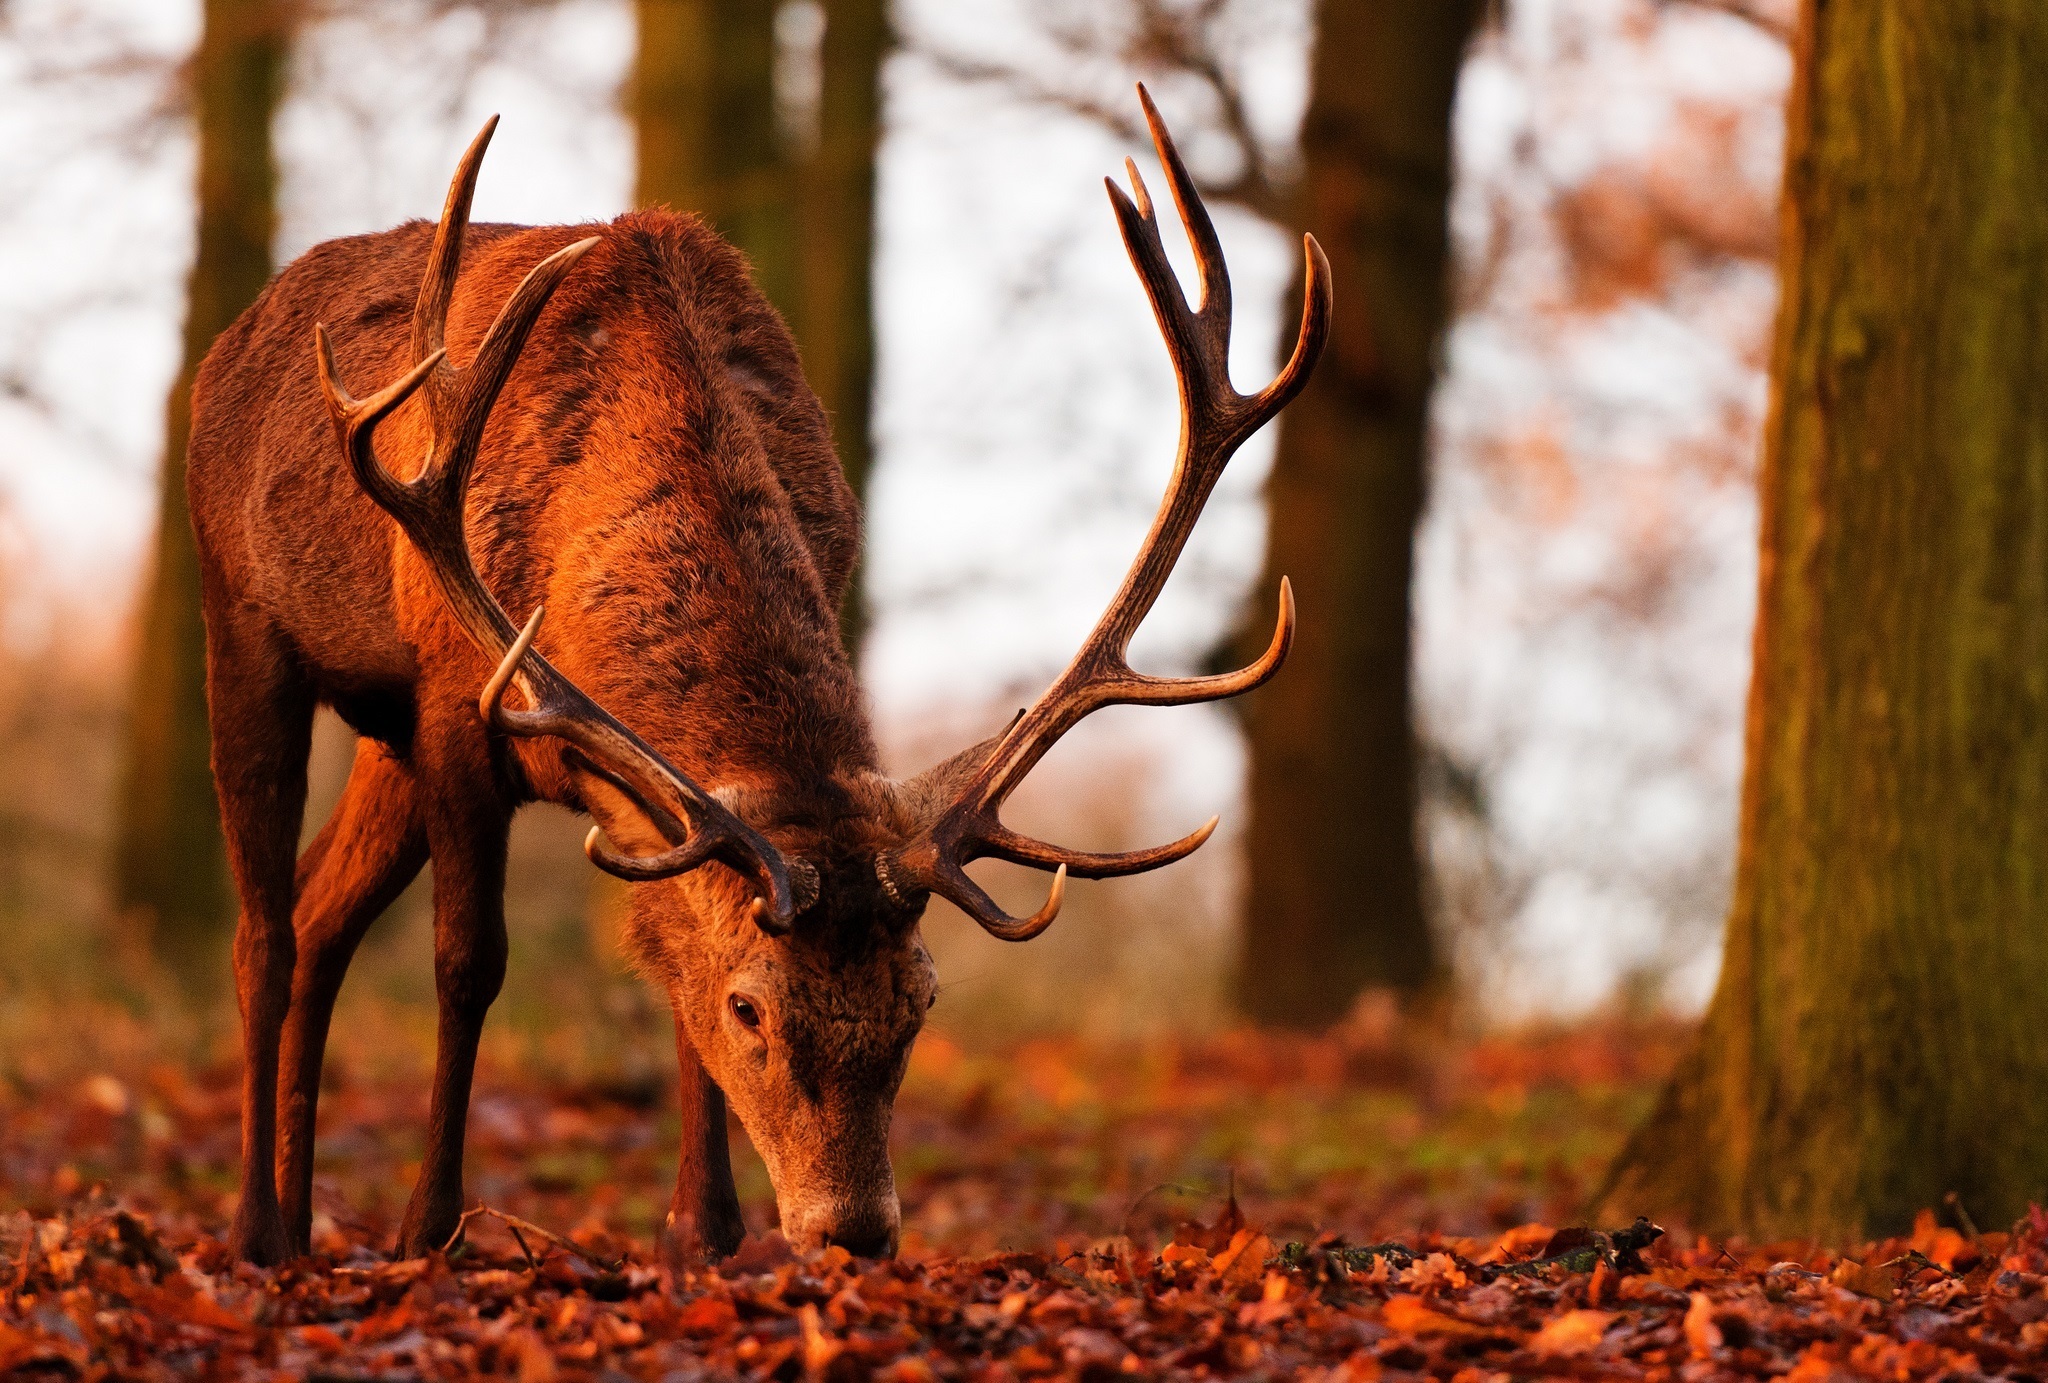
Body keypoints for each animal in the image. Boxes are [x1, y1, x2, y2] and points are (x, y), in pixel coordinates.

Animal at [188, 86, 1327, 1270]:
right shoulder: (459, 701)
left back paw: (301, 1214)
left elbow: (670, 946)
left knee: (321, 908)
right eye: (753, 1011)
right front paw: (430, 1231)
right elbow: (469, 962)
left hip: (384, 736)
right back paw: (258, 1227)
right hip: (243, 617)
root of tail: (234, 339)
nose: (854, 1229)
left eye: (920, 1002)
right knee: (264, 930)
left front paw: (704, 1229)